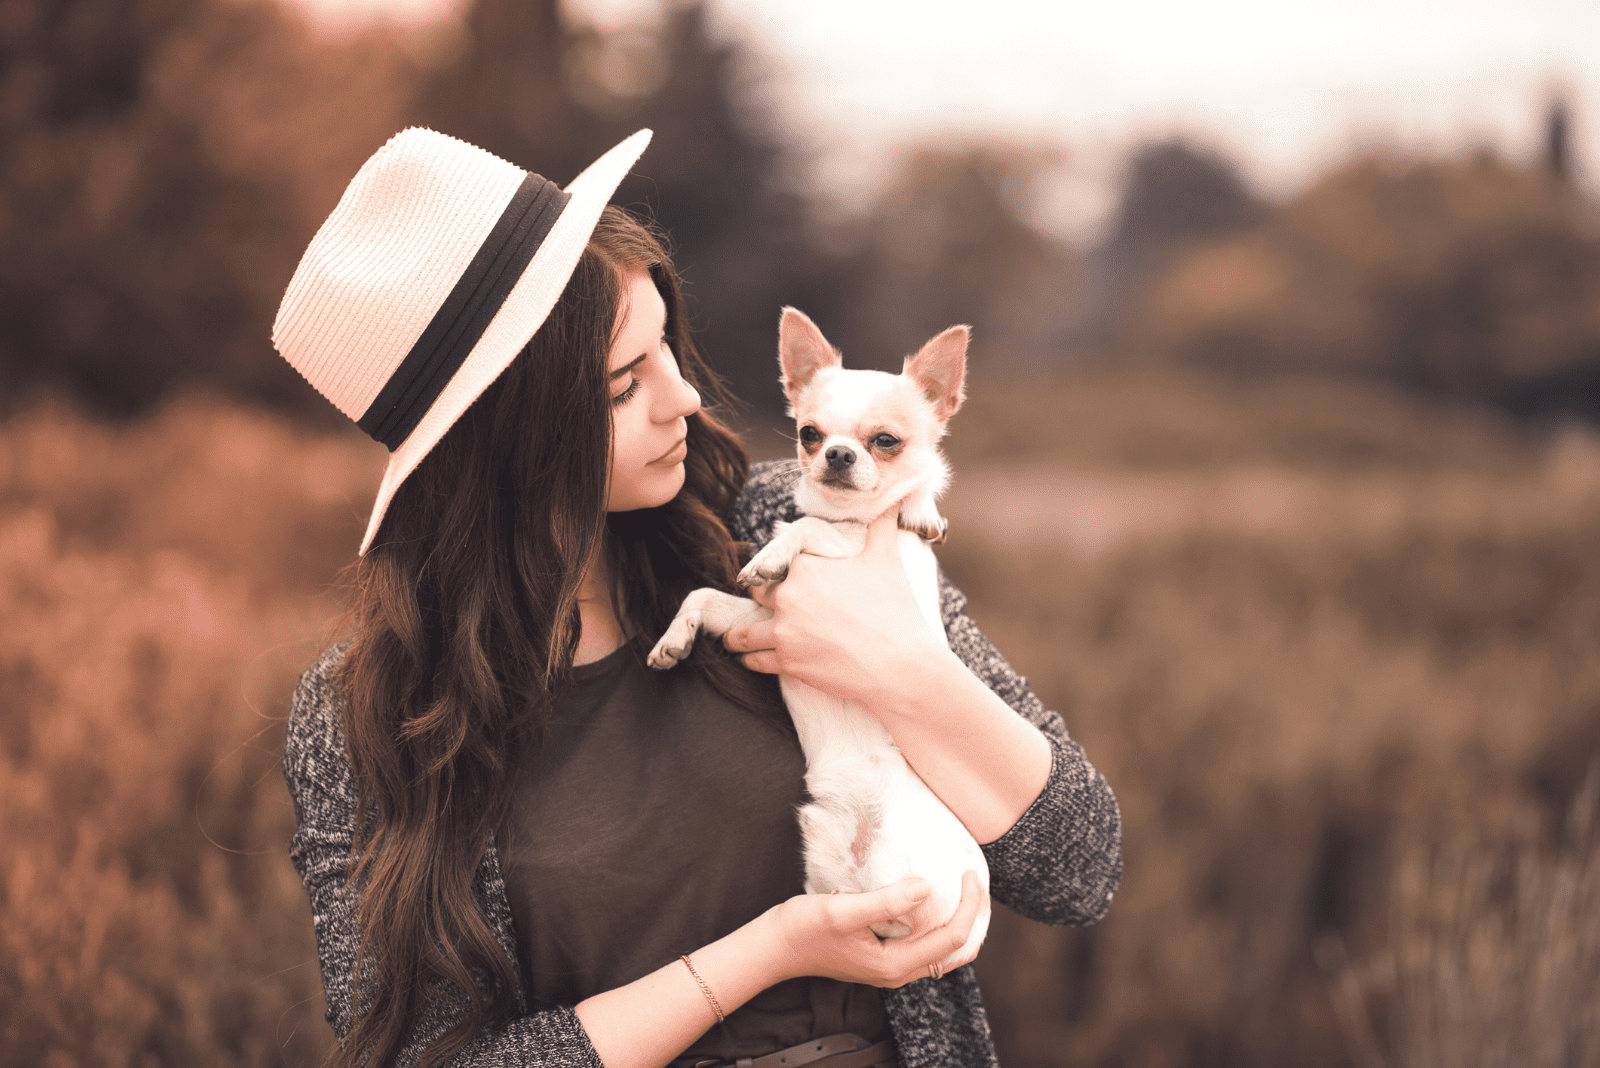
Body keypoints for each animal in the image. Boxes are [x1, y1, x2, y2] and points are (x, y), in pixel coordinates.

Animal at [649, 303, 985, 965]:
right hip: (828, 852)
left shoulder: (848, 548)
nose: (837, 455)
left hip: (904, 875)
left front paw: (774, 552)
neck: (851, 519)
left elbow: (806, 531)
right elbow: (703, 596)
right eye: (809, 432)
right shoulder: (765, 619)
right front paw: (674, 639)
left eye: (885, 441)